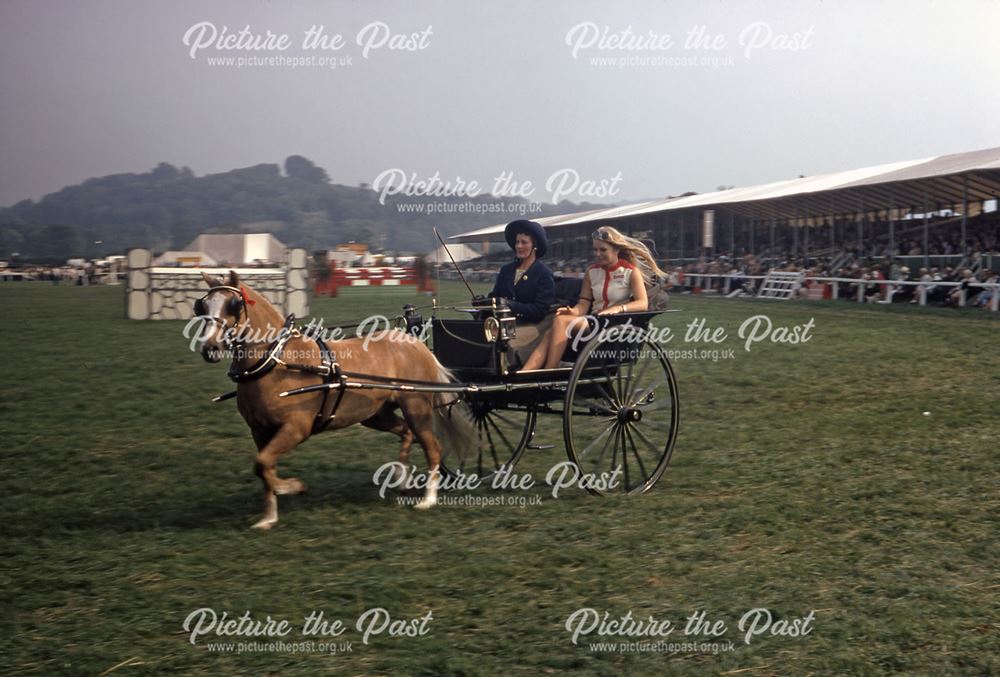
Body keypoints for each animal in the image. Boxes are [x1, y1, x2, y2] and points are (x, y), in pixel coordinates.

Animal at [195, 270, 476, 528]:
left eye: (233, 304)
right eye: (203, 306)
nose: (210, 348)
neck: (277, 363)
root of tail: (417, 345)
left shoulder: (296, 428)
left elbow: (262, 464)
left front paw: (292, 487)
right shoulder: (259, 431)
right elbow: (264, 468)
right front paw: (268, 518)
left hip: (416, 407)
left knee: (432, 447)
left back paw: (428, 500)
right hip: (376, 414)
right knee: (406, 432)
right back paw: (401, 478)